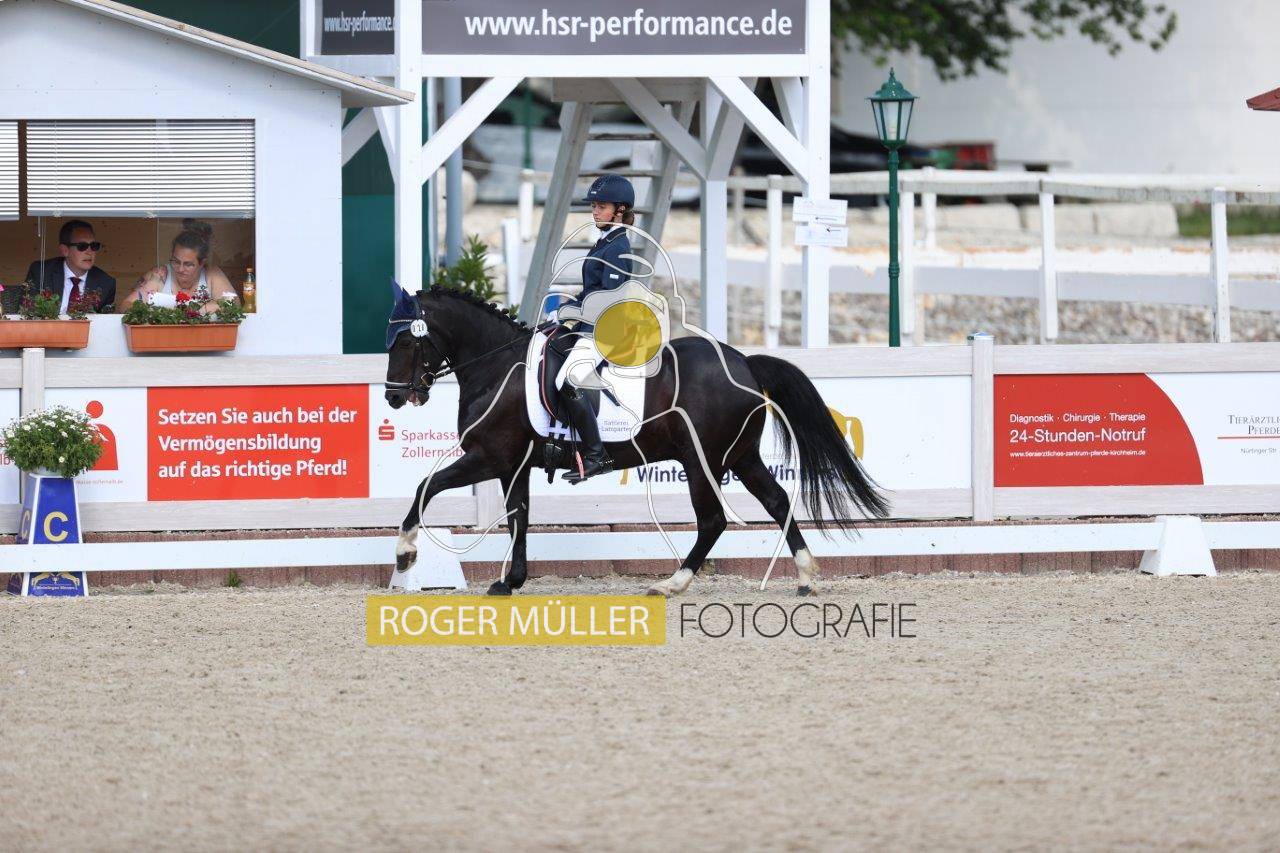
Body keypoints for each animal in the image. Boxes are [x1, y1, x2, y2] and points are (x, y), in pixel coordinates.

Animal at [383, 285, 889, 596]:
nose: (393, 396)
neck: (497, 365)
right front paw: (511, 582)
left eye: (405, 342)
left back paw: (672, 584)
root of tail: (744, 363)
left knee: (713, 521)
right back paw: (805, 576)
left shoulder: (488, 456)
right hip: (741, 457)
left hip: (702, 461)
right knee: (778, 501)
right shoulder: (513, 465)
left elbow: (426, 488)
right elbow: (518, 518)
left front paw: (406, 556)